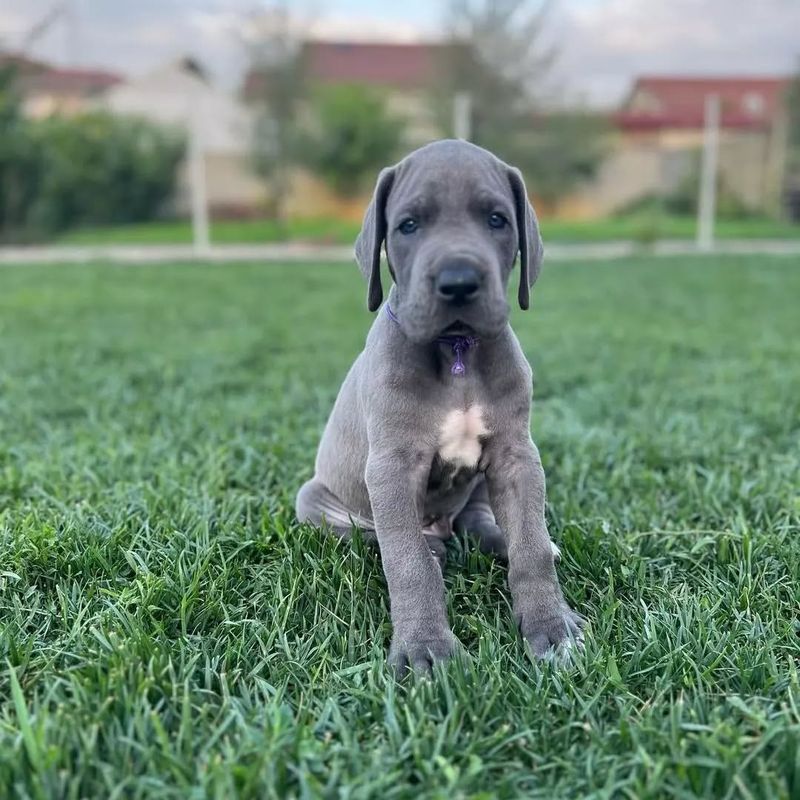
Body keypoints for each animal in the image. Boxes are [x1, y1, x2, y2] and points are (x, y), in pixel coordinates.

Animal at [296, 139, 584, 676]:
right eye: (409, 225)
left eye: (496, 219)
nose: (459, 281)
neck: (456, 351)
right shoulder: (391, 466)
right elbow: (406, 562)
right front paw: (425, 648)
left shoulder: (516, 456)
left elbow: (530, 546)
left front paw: (552, 626)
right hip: (314, 499)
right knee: (376, 537)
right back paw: (429, 546)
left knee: (485, 524)